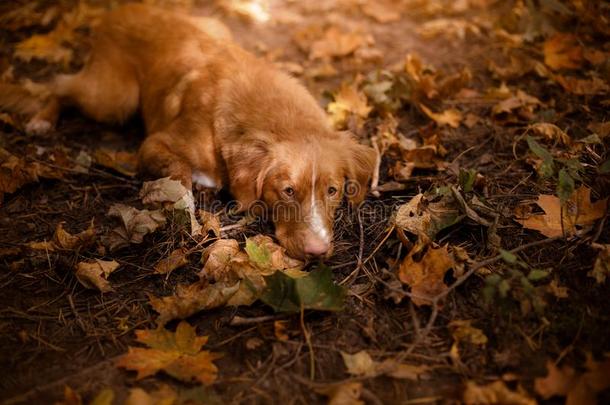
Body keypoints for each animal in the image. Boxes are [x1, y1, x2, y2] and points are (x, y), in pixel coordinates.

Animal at [0, 3, 376, 258]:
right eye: (287, 191)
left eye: (332, 190)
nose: (318, 252)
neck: (276, 116)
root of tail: (128, 6)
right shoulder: (153, 144)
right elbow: (179, 179)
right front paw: (187, 211)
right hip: (113, 98)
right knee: (58, 84)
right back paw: (42, 119)